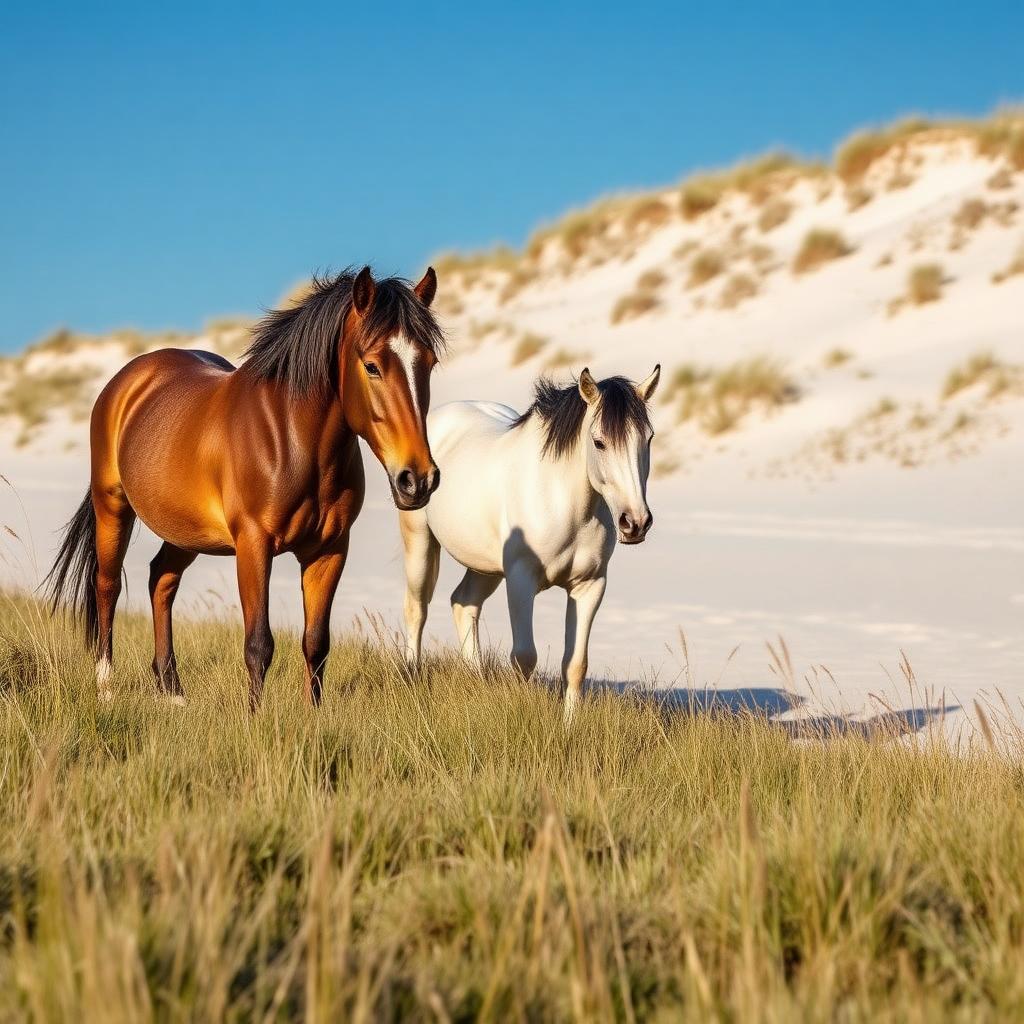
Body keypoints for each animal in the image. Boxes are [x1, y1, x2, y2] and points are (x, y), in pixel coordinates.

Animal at [44, 266, 444, 710]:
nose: (418, 479)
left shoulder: (330, 550)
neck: (292, 439)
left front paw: (314, 715)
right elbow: (258, 644)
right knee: (108, 585)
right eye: (372, 366)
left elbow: (316, 643)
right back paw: (107, 690)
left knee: (160, 579)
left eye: (429, 362)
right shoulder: (253, 545)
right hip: (112, 507)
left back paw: (172, 691)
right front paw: (256, 718)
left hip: (186, 531)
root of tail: (128, 379)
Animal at [399, 364, 660, 719]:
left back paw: (476, 681)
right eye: (599, 442)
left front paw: (569, 725)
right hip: (420, 542)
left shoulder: (589, 587)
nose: (635, 523)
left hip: (485, 566)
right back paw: (411, 679)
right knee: (417, 609)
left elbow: (575, 665)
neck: (563, 503)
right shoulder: (520, 581)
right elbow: (524, 657)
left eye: (649, 438)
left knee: (464, 603)